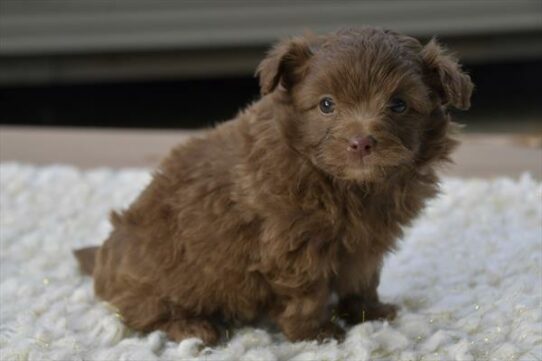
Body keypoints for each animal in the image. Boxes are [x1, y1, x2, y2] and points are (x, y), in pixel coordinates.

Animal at [74, 27, 474, 344]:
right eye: (326, 105)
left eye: (399, 105)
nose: (361, 143)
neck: (345, 184)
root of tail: (102, 262)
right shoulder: (293, 244)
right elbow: (308, 292)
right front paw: (316, 333)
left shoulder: (367, 241)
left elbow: (363, 277)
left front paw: (368, 312)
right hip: (158, 279)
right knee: (142, 314)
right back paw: (193, 328)